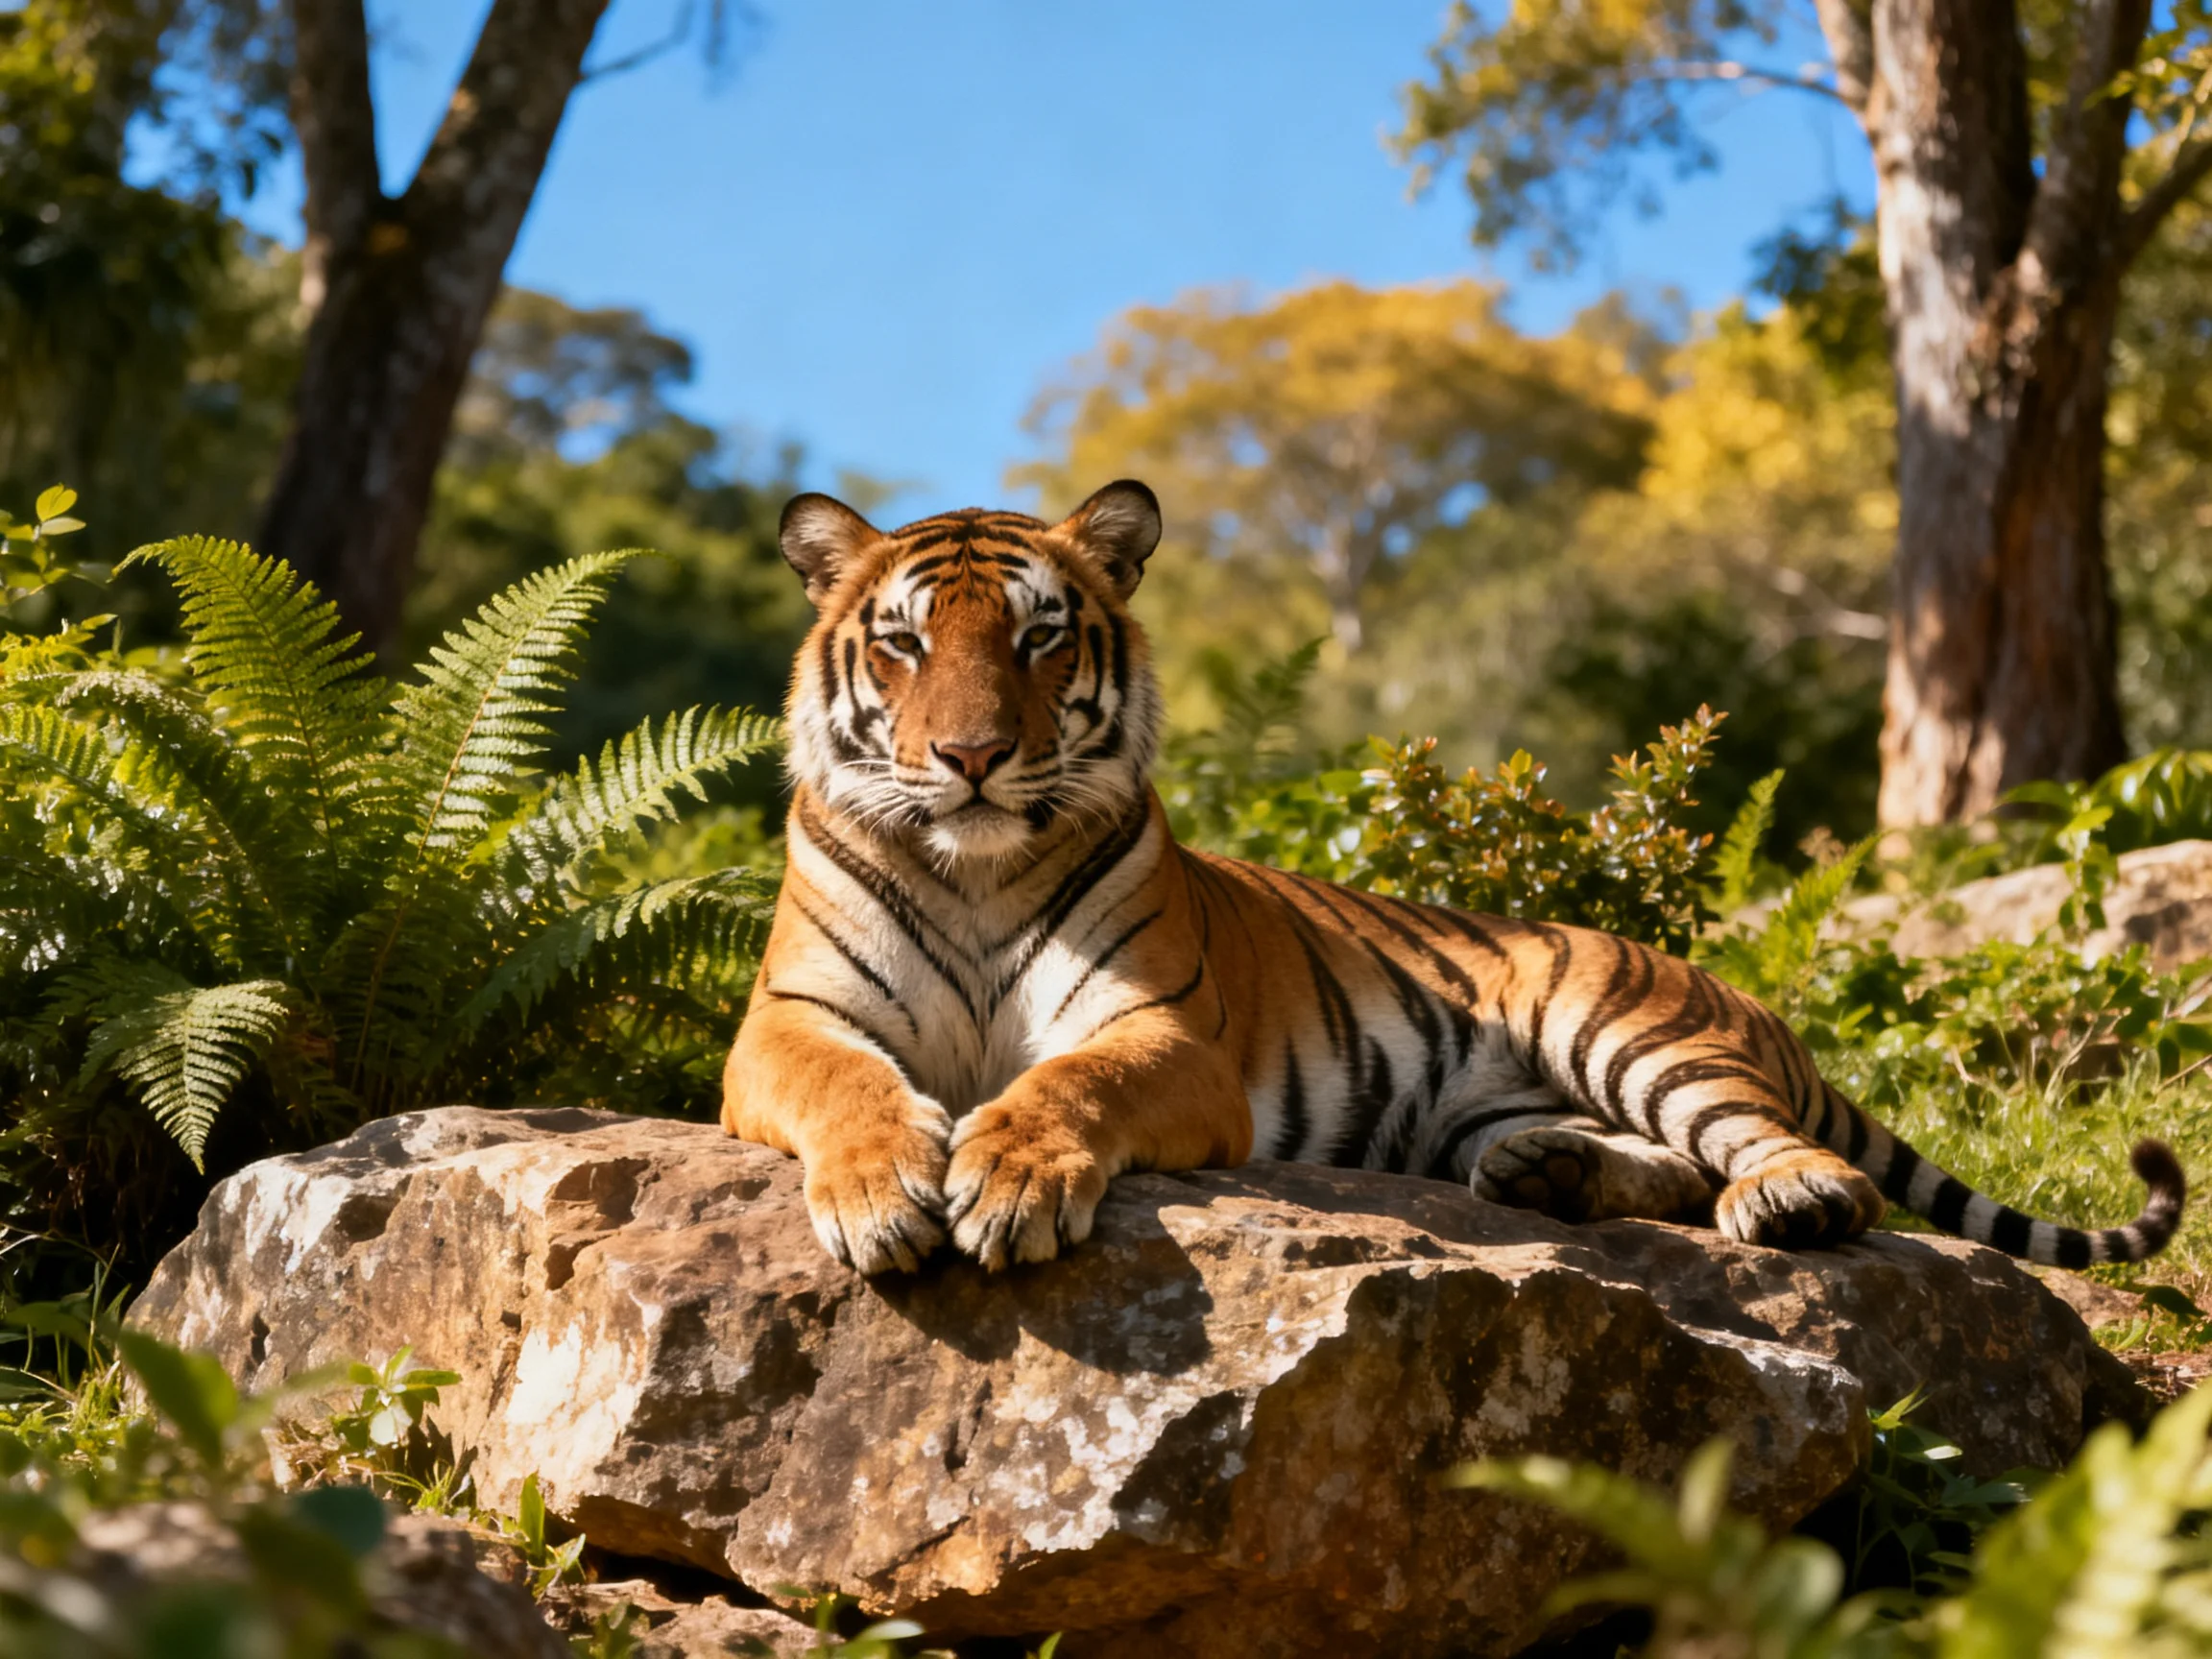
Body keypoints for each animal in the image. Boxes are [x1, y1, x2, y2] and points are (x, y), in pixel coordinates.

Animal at [721, 479, 2186, 1277]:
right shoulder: (788, 1026)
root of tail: (1748, 1004)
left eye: (1040, 637)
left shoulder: (1162, 1033)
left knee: (1789, 1160)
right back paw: (1550, 1174)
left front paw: (1010, 1181)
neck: (975, 871)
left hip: (1625, 1026)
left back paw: (1783, 1195)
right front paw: (880, 1194)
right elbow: (851, 1087)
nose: (970, 758)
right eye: (907, 644)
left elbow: (1065, 1086)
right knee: (1658, 1169)